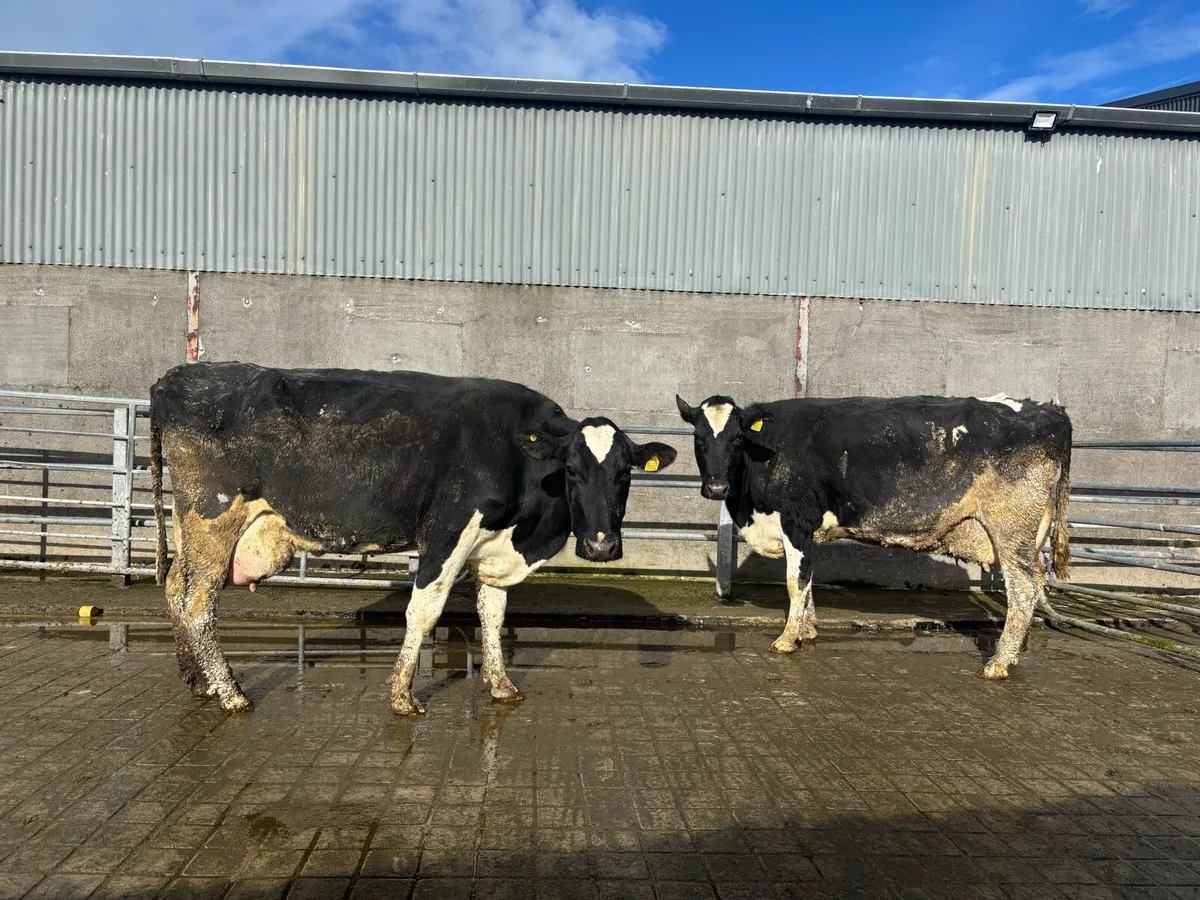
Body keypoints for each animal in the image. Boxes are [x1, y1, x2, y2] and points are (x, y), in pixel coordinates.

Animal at [149, 362, 676, 715]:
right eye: (571, 470)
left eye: (625, 473)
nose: (602, 546)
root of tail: (177, 377)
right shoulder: (448, 533)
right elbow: (424, 612)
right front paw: (402, 695)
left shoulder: (492, 547)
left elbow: (492, 614)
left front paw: (501, 685)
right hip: (213, 517)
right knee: (197, 602)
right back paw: (231, 693)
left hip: (191, 522)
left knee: (175, 587)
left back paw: (199, 681)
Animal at [676, 393, 1072, 679]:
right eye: (698, 437)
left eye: (737, 438)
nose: (716, 487)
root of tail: (1049, 410)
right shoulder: (808, 533)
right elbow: (808, 581)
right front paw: (807, 631)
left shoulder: (797, 523)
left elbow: (794, 582)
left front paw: (787, 639)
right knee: (1034, 584)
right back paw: (1016, 652)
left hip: (1011, 527)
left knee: (1023, 588)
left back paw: (999, 663)